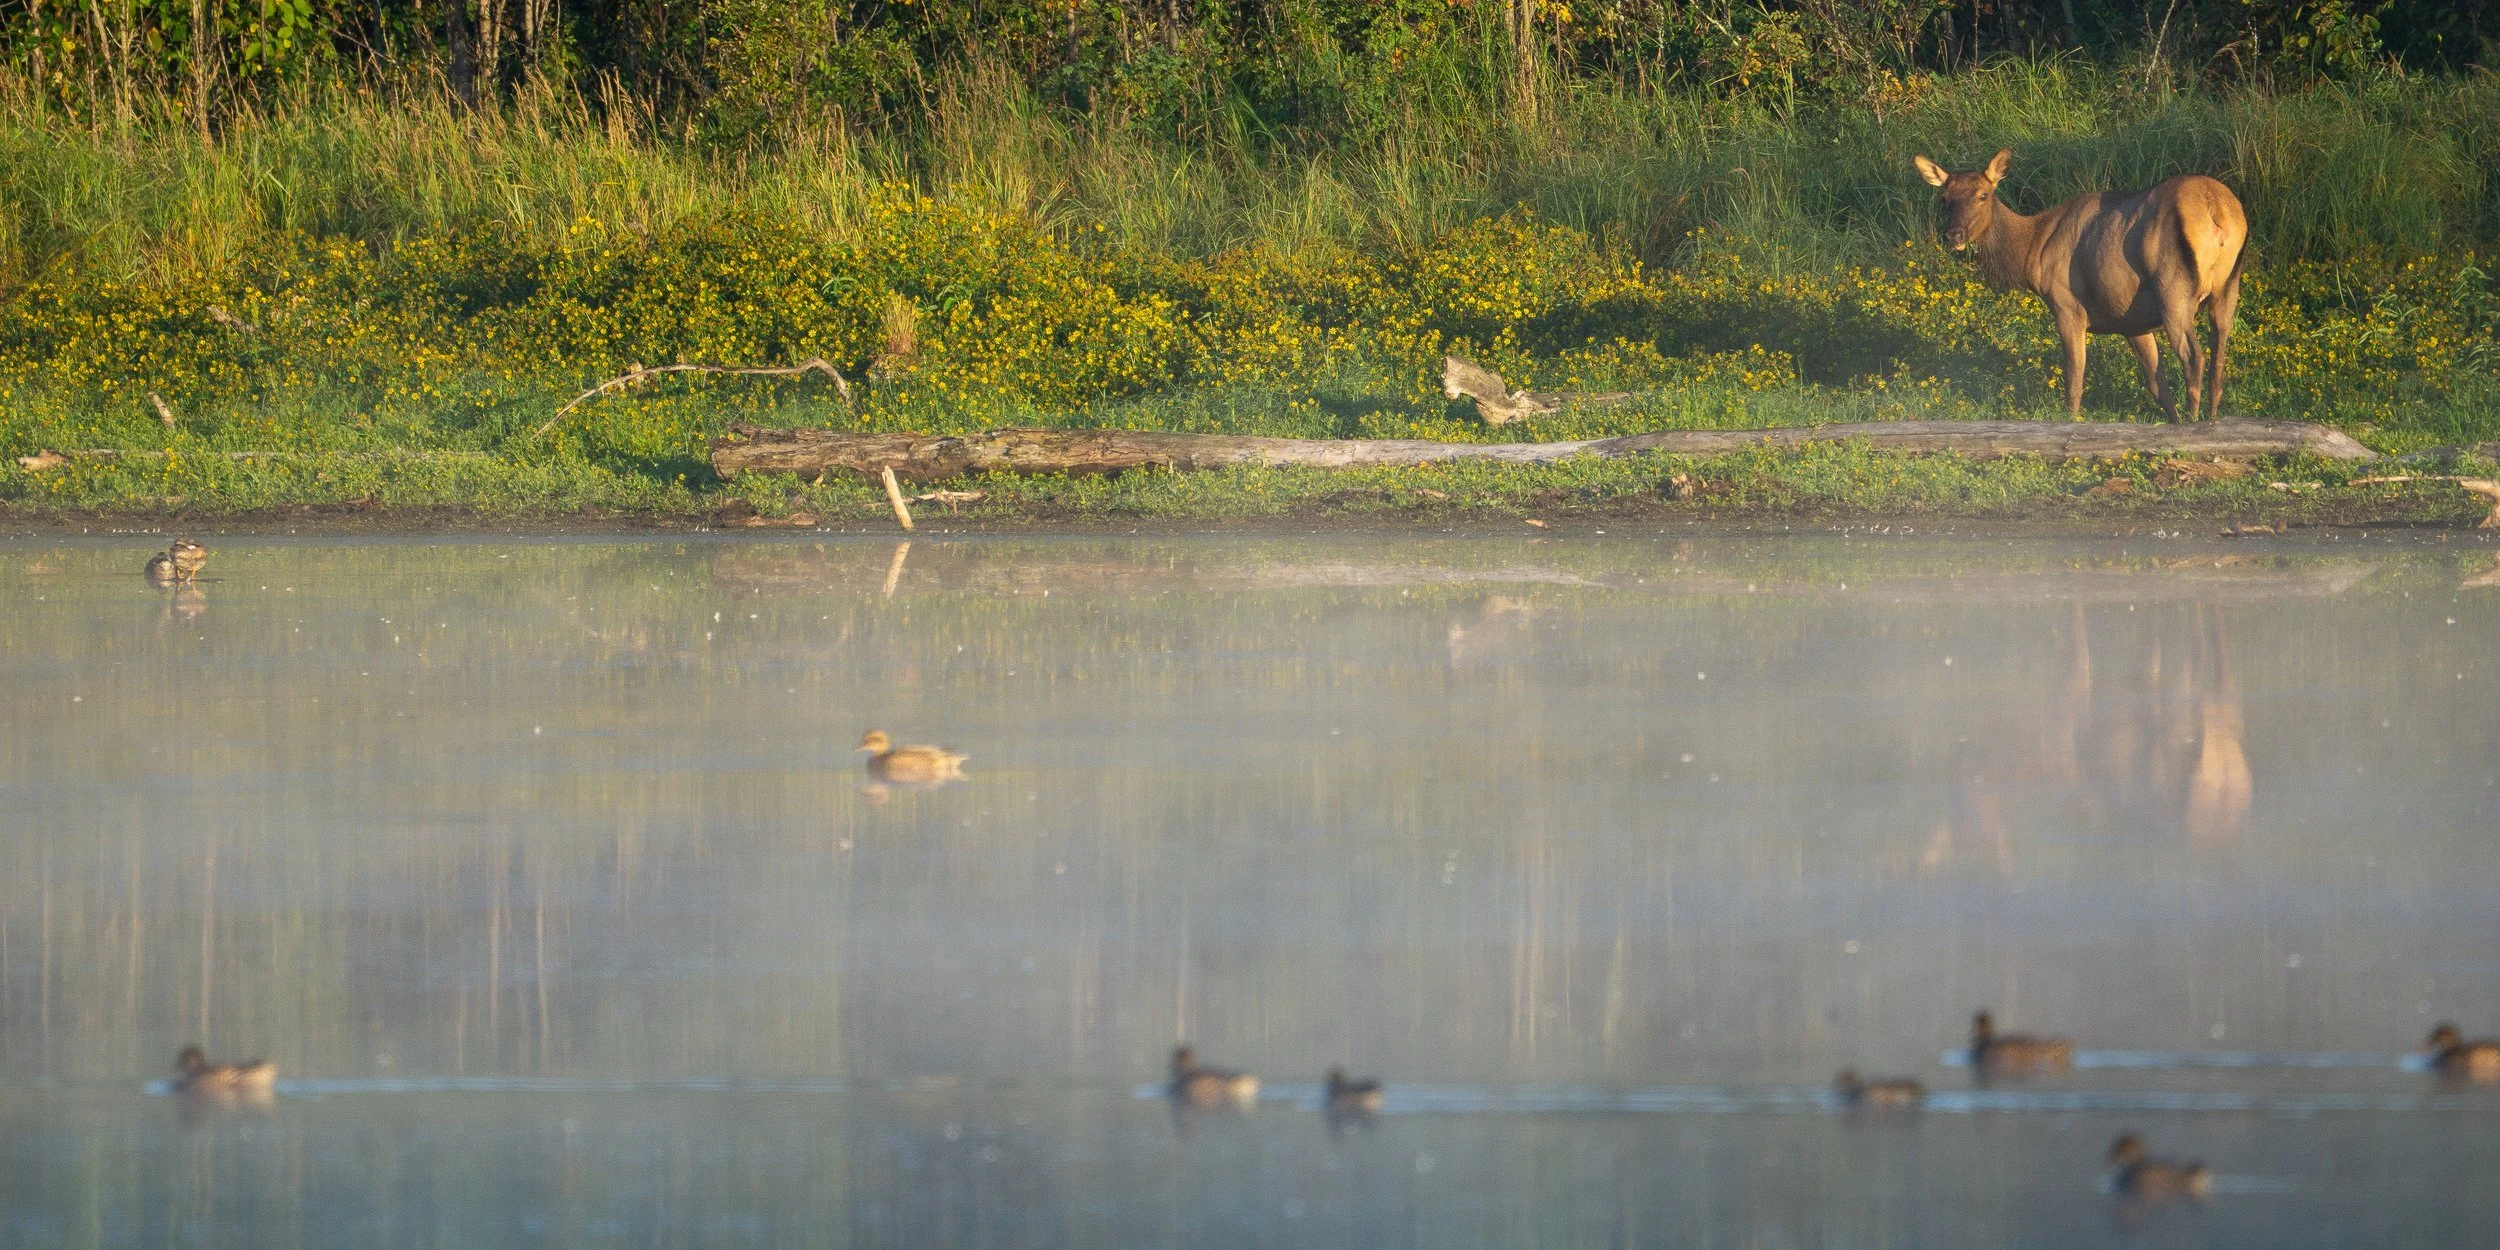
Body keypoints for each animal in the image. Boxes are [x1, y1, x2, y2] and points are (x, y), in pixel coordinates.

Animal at [1914, 149, 2247, 422]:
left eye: (1983, 195)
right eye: (1945, 199)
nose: (1953, 234)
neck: (2032, 248)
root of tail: (2217, 210)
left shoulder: (2066, 304)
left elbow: (2074, 379)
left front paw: (2072, 420)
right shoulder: (2131, 321)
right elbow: (2157, 385)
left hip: (2172, 287)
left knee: (2194, 356)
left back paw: (2194, 420)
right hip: (2228, 285)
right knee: (2218, 357)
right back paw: (2210, 418)